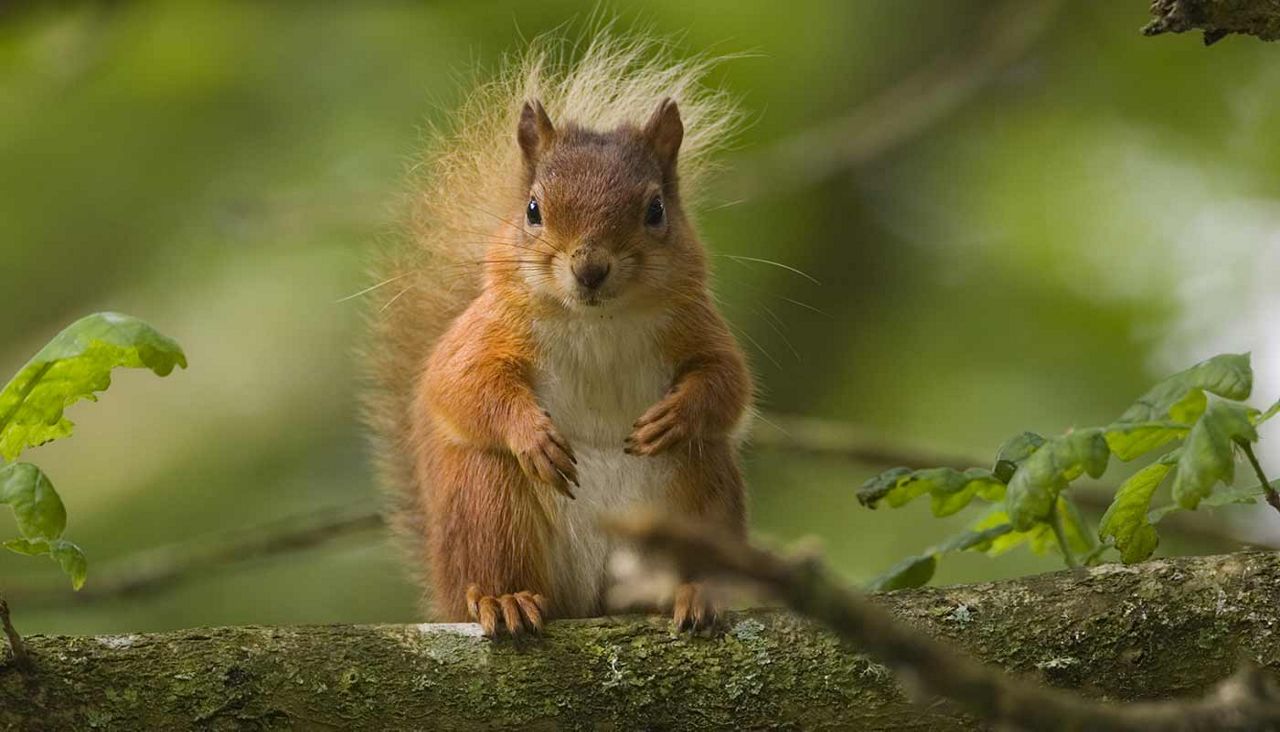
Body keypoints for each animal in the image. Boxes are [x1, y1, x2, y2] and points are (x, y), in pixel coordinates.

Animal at [365, 34, 752, 636]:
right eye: (533, 210)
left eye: (656, 210)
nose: (590, 268)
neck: (596, 319)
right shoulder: (483, 333)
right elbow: (459, 384)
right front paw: (532, 435)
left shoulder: (698, 325)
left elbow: (728, 382)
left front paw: (677, 415)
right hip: (490, 503)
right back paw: (504, 599)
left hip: (699, 487)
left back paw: (694, 592)